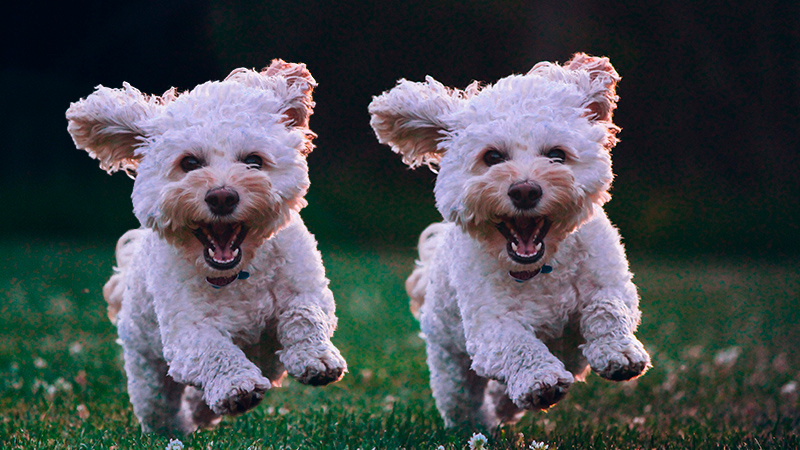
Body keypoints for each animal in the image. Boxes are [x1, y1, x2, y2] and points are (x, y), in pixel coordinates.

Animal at [65, 60, 346, 436]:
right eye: (189, 163)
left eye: (253, 160)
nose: (222, 196)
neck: (238, 274)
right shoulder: (186, 332)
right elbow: (213, 350)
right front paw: (236, 386)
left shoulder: (306, 287)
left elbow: (304, 314)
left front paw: (316, 358)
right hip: (146, 367)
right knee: (158, 403)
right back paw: (177, 427)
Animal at [368, 52, 648, 428]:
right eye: (492, 157)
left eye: (556, 155)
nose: (525, 190)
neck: (542, 268)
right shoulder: (490, 325)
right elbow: (518, 345)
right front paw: (540, 380)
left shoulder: (609, 282)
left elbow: (608, 308)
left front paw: (618, 352)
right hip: (449, 360)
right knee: (461, 398)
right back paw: (480, 422)